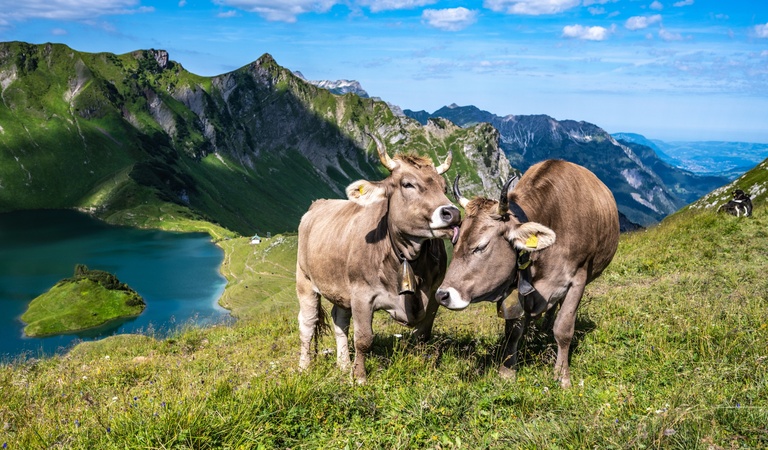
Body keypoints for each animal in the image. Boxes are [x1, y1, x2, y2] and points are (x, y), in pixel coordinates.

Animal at [296, 134, 461, 383]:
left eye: (444, 187)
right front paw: (360, 377)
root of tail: (318, 203)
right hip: (304, 281)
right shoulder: (362, 295)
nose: (453, 214)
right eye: (407, 184)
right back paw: (304, 367)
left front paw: (423, 367)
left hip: (340, 288)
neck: (407, 258)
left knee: (339, 320)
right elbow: (364, 339)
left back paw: (343, 364)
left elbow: (423, 334)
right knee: (308, 323)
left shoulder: (434, 293)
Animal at [435, 159, 619, 388]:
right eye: (455, 242)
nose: (441, 295)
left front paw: (562, 376)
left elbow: (564, 329)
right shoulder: (516, 287)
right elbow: (513, 331)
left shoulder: (578, 280)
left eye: (481, 246)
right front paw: (507, 371)